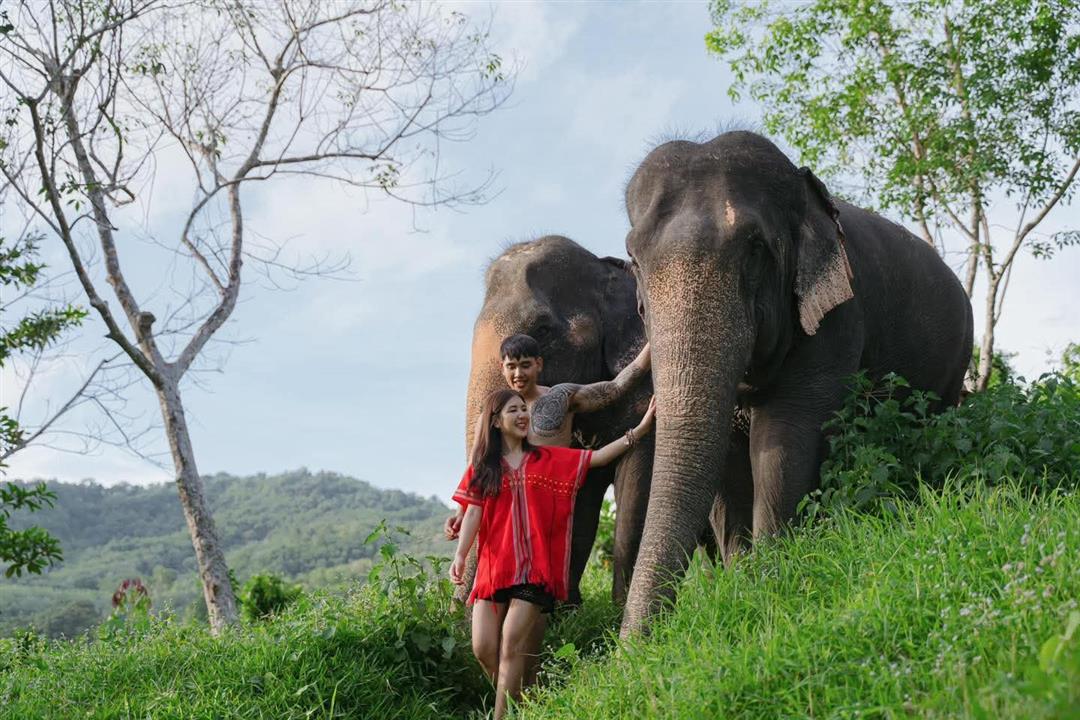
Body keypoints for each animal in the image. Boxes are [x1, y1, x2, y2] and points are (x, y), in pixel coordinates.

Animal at [621, 131, 973, 635]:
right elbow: (726, 463)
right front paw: (743, 580)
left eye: (755, 248)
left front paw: (769, 581)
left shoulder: (838, 317)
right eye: (632, 259)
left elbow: (784, 437)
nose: (633, 647)